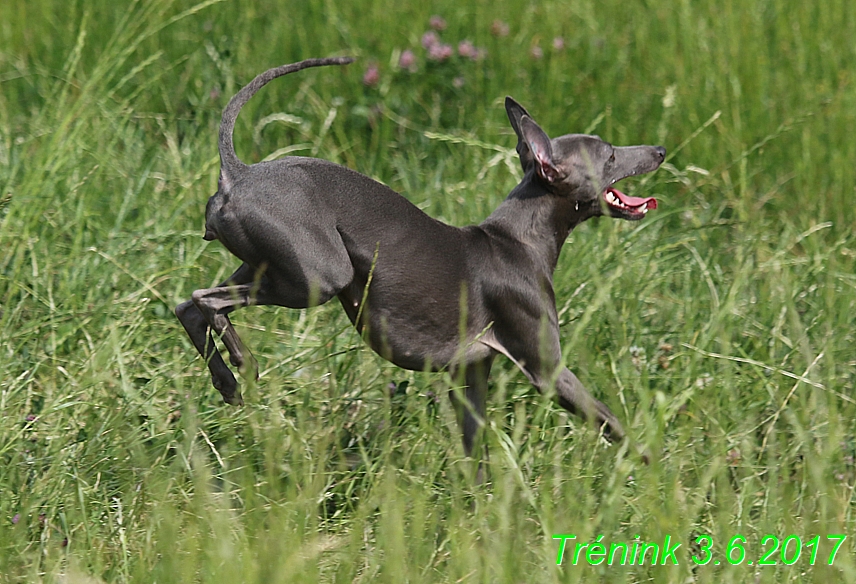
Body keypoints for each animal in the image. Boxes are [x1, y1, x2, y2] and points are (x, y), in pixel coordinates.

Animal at [174, 59, 664, 460]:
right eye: (611, 154)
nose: (659, 151)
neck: (517, 240)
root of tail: (237, 173)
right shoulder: (548, 371)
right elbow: (615, 426)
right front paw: (657, 473)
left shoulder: (471, 376)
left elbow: (475, 455)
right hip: (319, 276)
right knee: (206, 299)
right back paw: (242, 362)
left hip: (268, 264)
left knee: (188, 306)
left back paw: (226, 382)